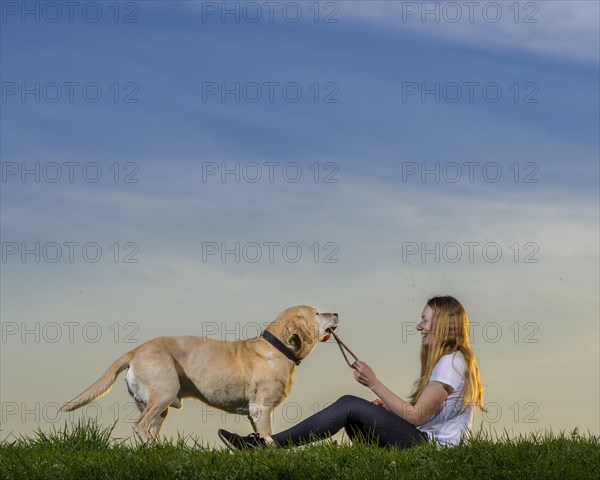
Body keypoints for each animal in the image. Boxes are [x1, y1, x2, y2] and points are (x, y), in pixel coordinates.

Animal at [62, 306, 340, 440]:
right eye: (317, 312)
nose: (337, 313)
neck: (278, 348)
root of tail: (134, 351)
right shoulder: (261, 409)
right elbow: (268, 437)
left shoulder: (254, 412)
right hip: (165, 392)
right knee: (140, 426)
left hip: (158, 406)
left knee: (149, 430)